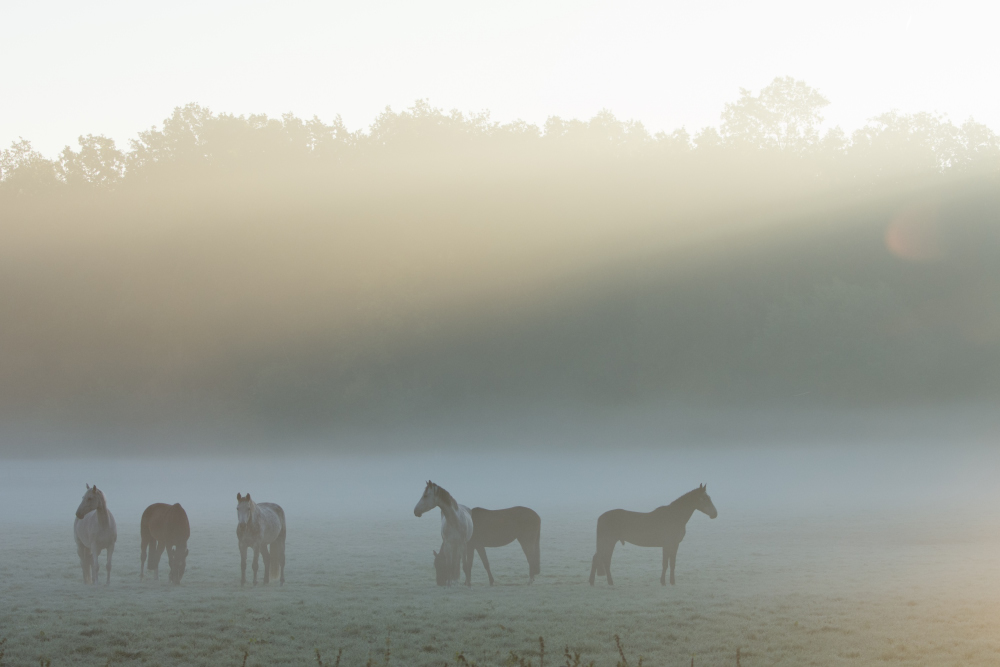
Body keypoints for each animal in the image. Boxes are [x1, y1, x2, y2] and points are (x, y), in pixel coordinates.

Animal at [588, 482, 716, 588]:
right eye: (704, 498)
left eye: (709, 497)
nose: (715, 514)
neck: (674, 516)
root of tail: (601, 517)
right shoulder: (667, 545)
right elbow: (665, 564)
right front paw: (663, 582)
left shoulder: (675, 545)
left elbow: (672, 564)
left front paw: (672, 582)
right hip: (608, 542)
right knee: (601, 559)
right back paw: (598, 582)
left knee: (603, 559)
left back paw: (603, 582)